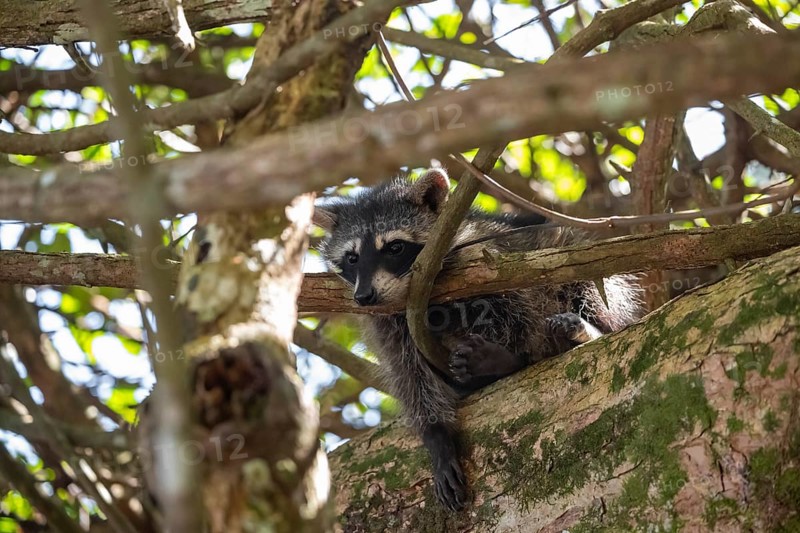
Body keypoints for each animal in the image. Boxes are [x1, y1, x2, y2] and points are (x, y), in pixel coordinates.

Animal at [314, 168, 642, 511]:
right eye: (352, 258)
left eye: (394, 247)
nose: (364, 297)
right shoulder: (387, 322)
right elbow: (408, 373)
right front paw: (435, 433)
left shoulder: (491, 261)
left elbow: (517, 305)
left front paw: (508, 357)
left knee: (582, 279)